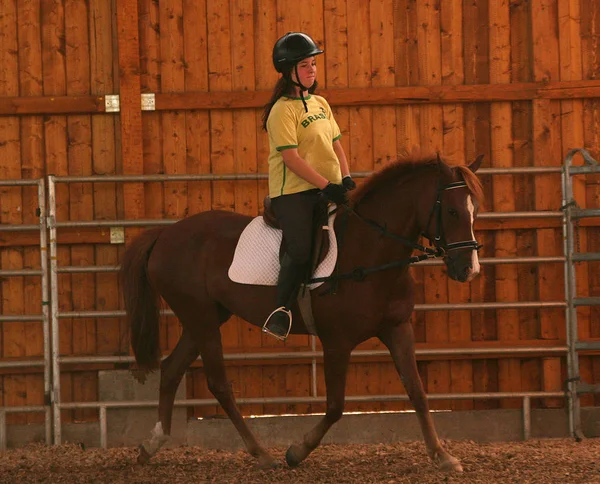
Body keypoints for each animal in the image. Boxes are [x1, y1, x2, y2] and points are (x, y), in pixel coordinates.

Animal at [120, 154, 482, 472]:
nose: (469, 270)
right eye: (451, 210)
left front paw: (443, 457)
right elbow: (335, 406)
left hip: (205, 317)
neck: (369, 252)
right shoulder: (337, 342)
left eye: (474, 211)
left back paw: (151, 445)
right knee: (218, 383)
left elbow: (418, 392)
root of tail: (166, 234)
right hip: (202, 319)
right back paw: (262, 454)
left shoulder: (397, 328)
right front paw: (297, 451)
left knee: (171, 369)